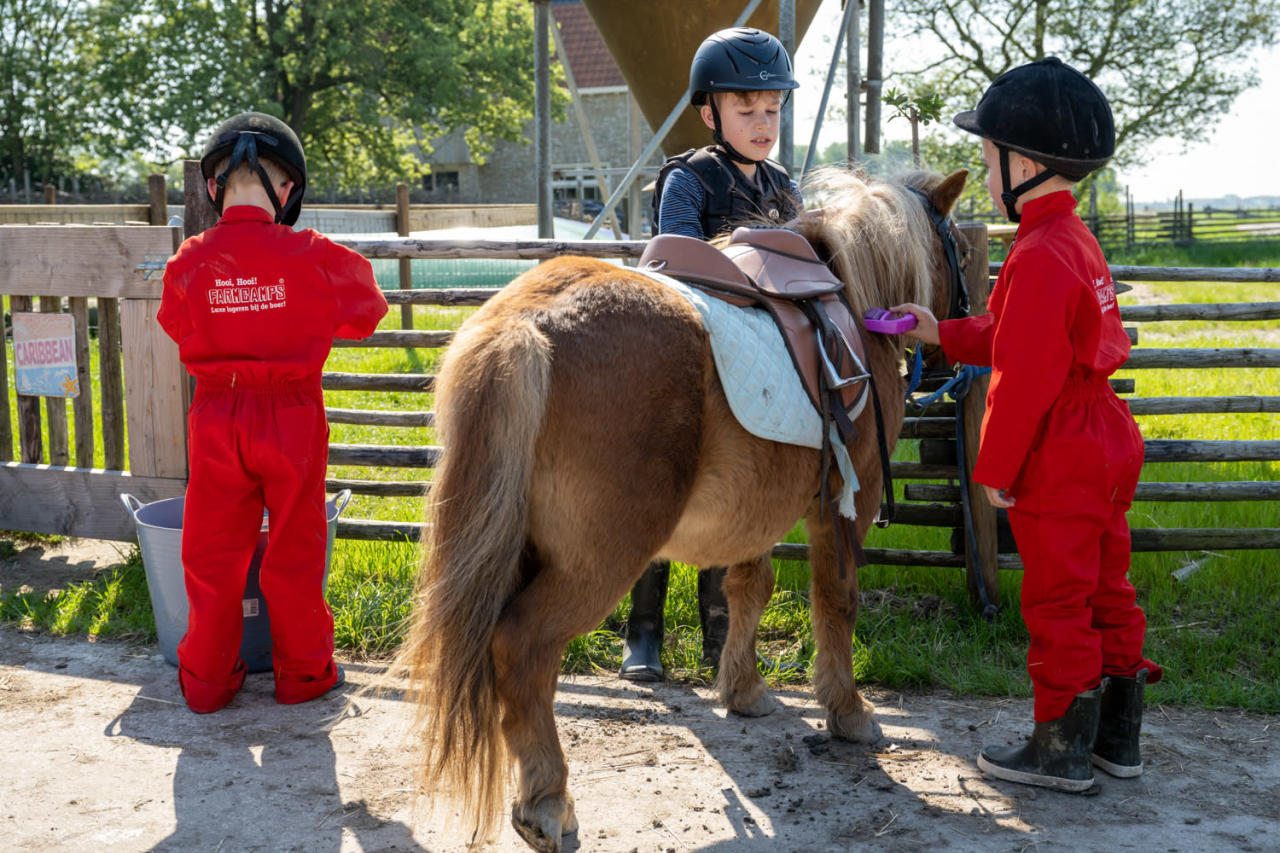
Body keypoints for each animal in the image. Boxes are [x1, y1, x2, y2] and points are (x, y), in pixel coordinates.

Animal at [399, 167, 967, 850]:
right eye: (963, 252)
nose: (954, 342)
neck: (850, 302)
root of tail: (523, 323)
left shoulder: (756, 508)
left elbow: (751, 588)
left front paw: (744, 688)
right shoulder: (845, 501)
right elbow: (837, 600)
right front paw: (849, 712)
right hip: (601, 557)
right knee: (522, 646)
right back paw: (547, 802)